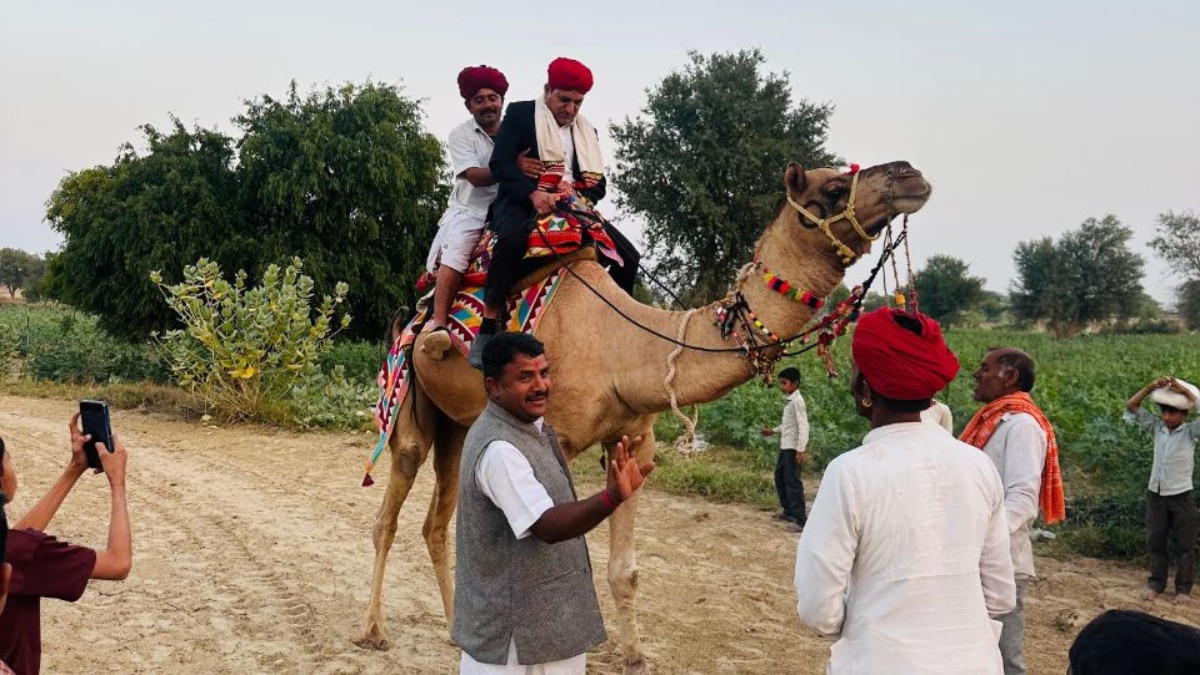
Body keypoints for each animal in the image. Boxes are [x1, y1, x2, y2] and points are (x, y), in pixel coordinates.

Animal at [354, 160, 932, 672]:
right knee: (388, 514)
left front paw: (634, 657)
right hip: (409, 405)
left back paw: (457, 632)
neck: (625, 347)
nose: (910, 174)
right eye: (832, 189)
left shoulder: (632, 439)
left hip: (456, 422)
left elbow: (625, 570)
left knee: (437, 519)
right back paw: (374, 630)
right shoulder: (554, 435)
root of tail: (416, 313)